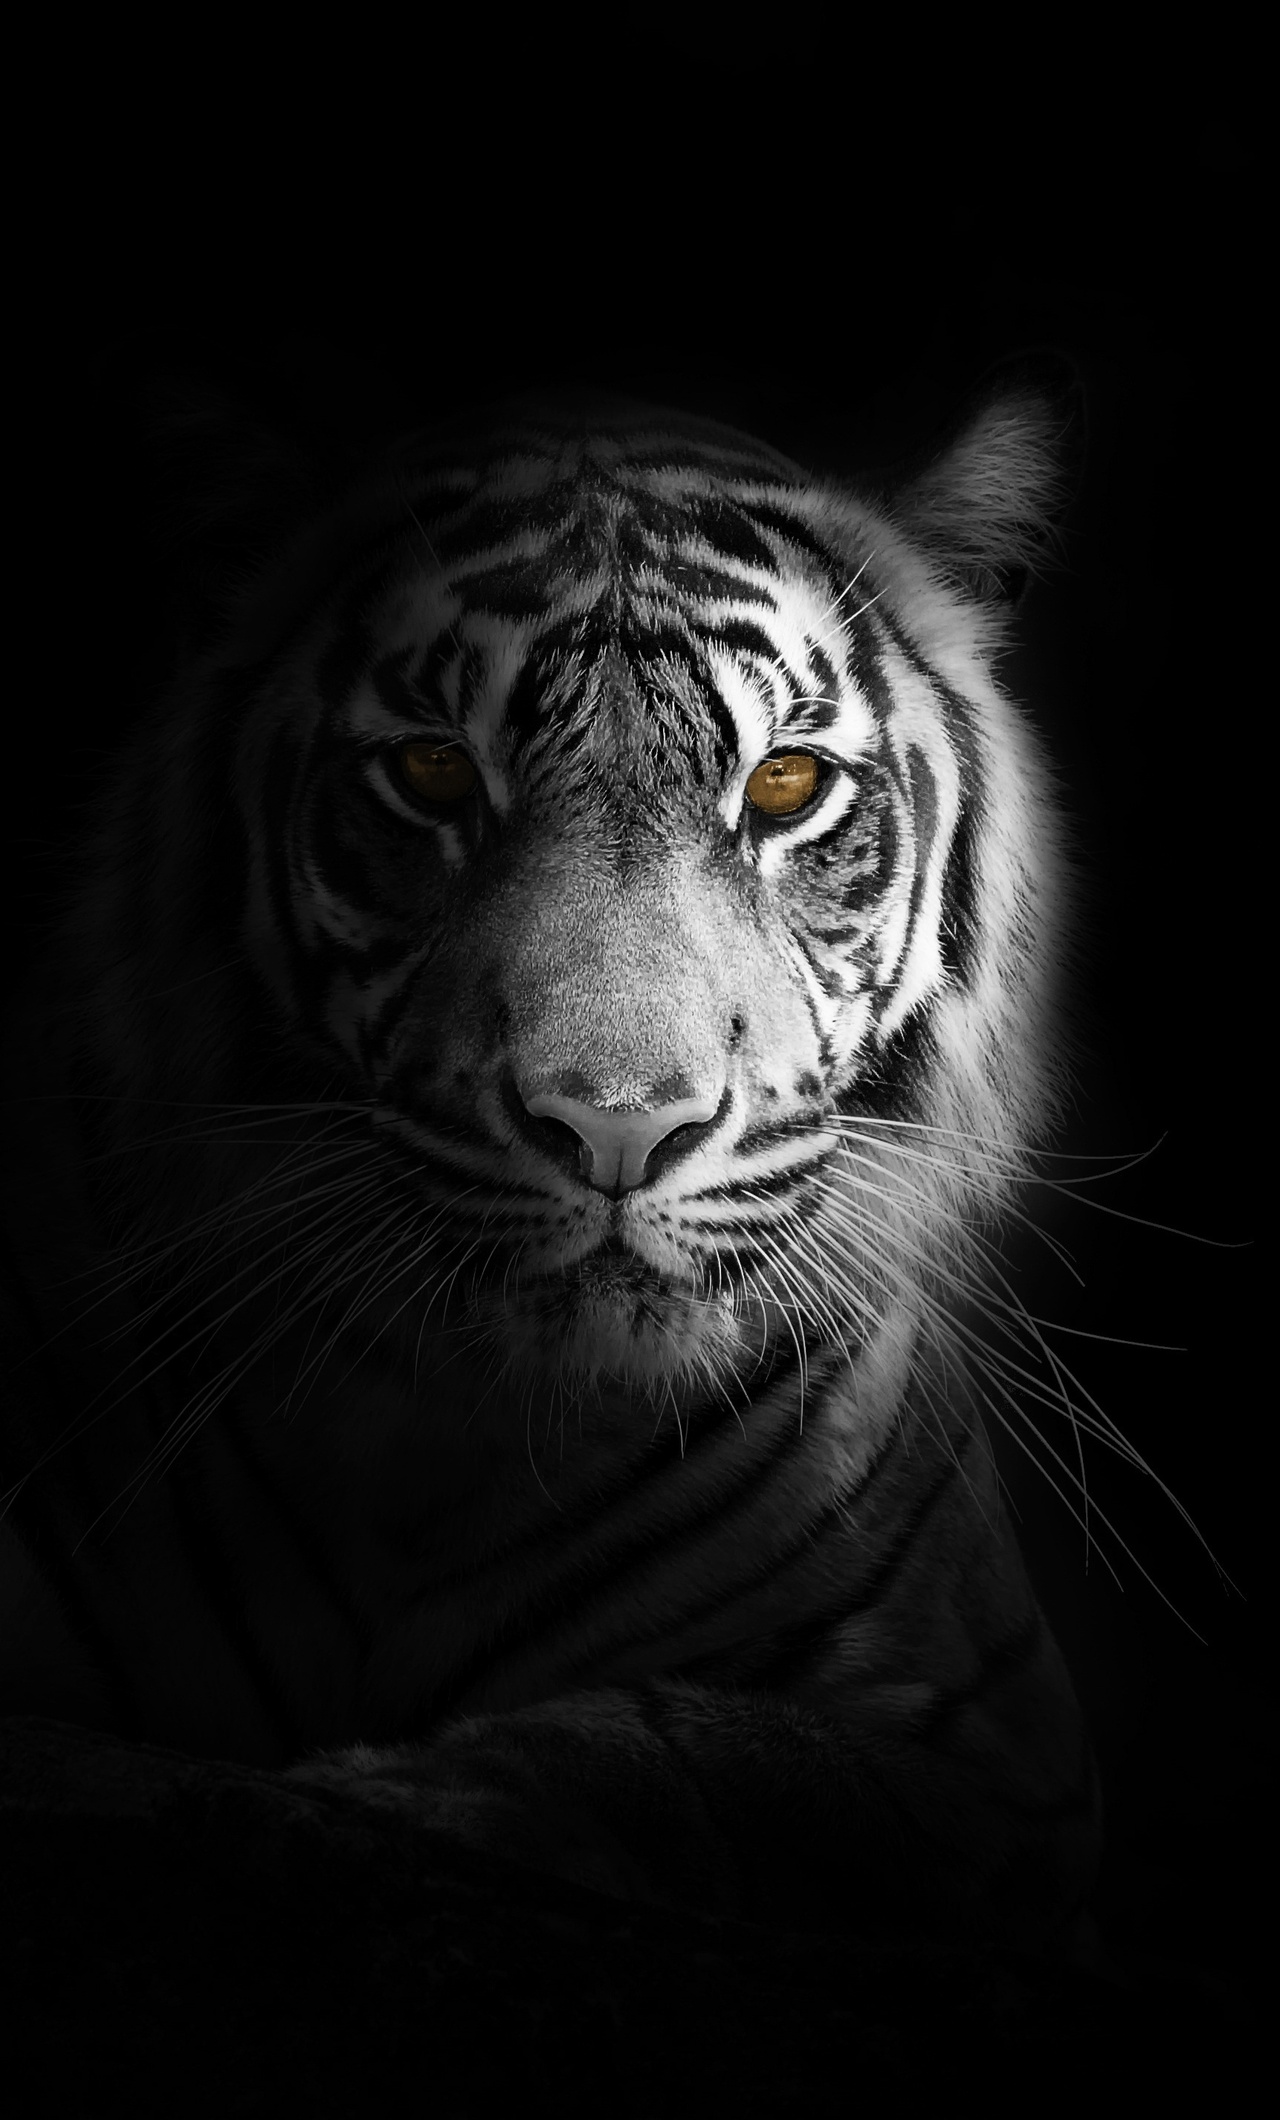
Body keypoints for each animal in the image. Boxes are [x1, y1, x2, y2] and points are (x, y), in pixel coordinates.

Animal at [0, 361, 1101, 1950]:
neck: (452, 1445)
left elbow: (689, 1756)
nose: (618, 1124)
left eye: (783, 788)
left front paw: (361, 1802)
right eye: (428, 770)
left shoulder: (1001, 1763)